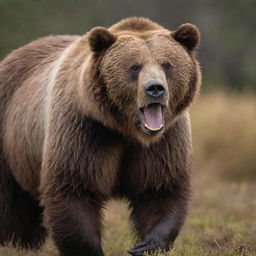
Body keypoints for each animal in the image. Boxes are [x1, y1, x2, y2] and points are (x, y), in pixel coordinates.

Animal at [0, 17, 200, 256]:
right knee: (11, 203)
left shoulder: (165, 139)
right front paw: (88, 248)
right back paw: (14, 243)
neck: (126, 129)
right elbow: (75, 188)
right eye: (135, 66)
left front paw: (147, 244)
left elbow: (160, 188)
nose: (155, 89)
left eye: (167, 64)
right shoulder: (85, 128)